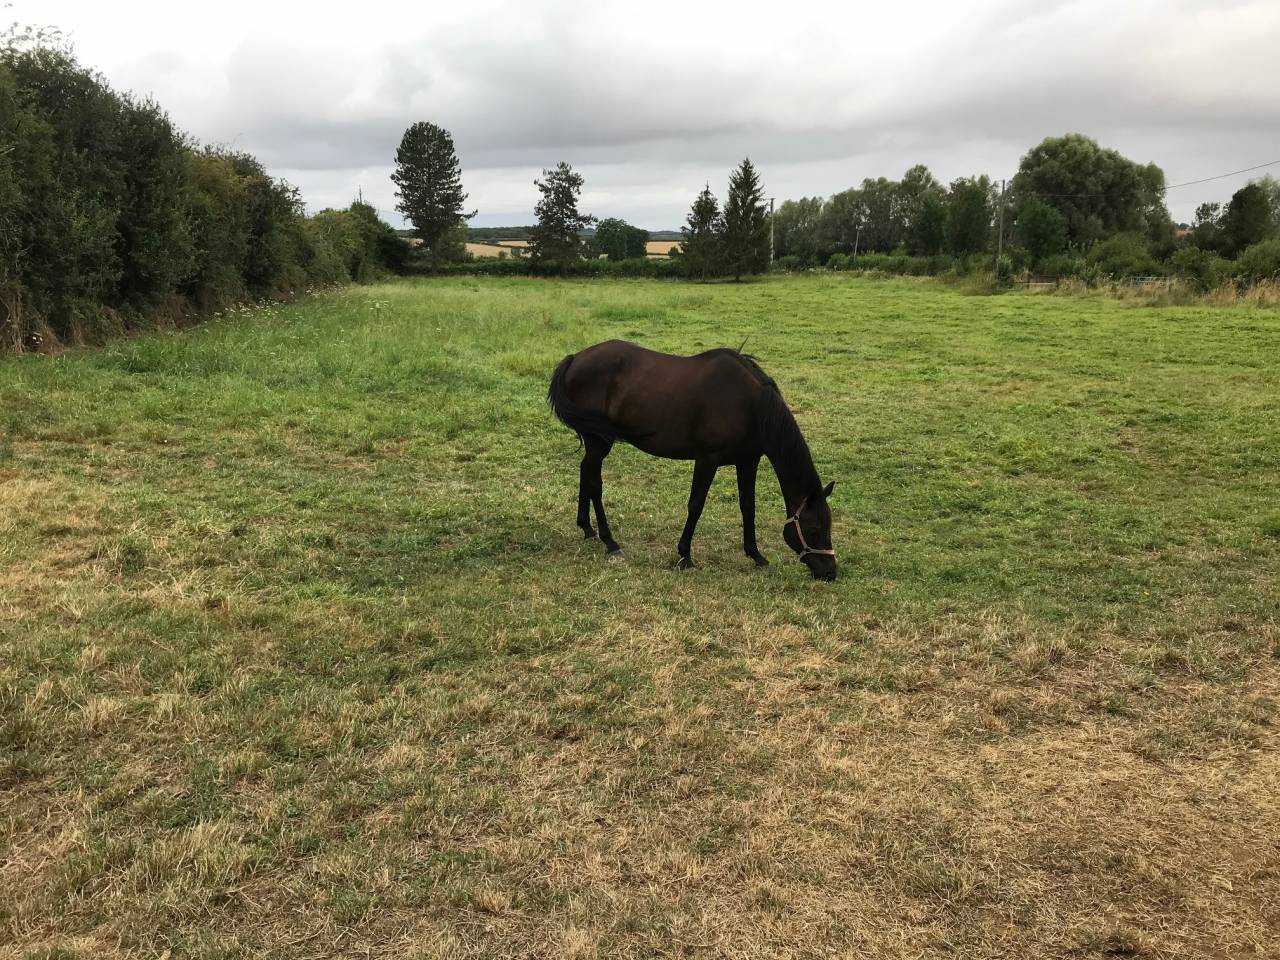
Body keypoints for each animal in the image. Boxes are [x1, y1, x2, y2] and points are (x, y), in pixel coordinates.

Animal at [547, 339, 837, 581]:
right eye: (813, 530)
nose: (830, 573)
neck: (750, 405)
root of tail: (575, 358)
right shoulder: (707, 459)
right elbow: (696, 505)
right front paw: (685, 555)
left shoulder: (747, 461)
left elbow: (748, 506)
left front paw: (755, 555)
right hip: (599, 441)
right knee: (595, 482)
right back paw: (610, 542)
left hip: (595, 443)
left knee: (585, 471)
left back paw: (587, 529)